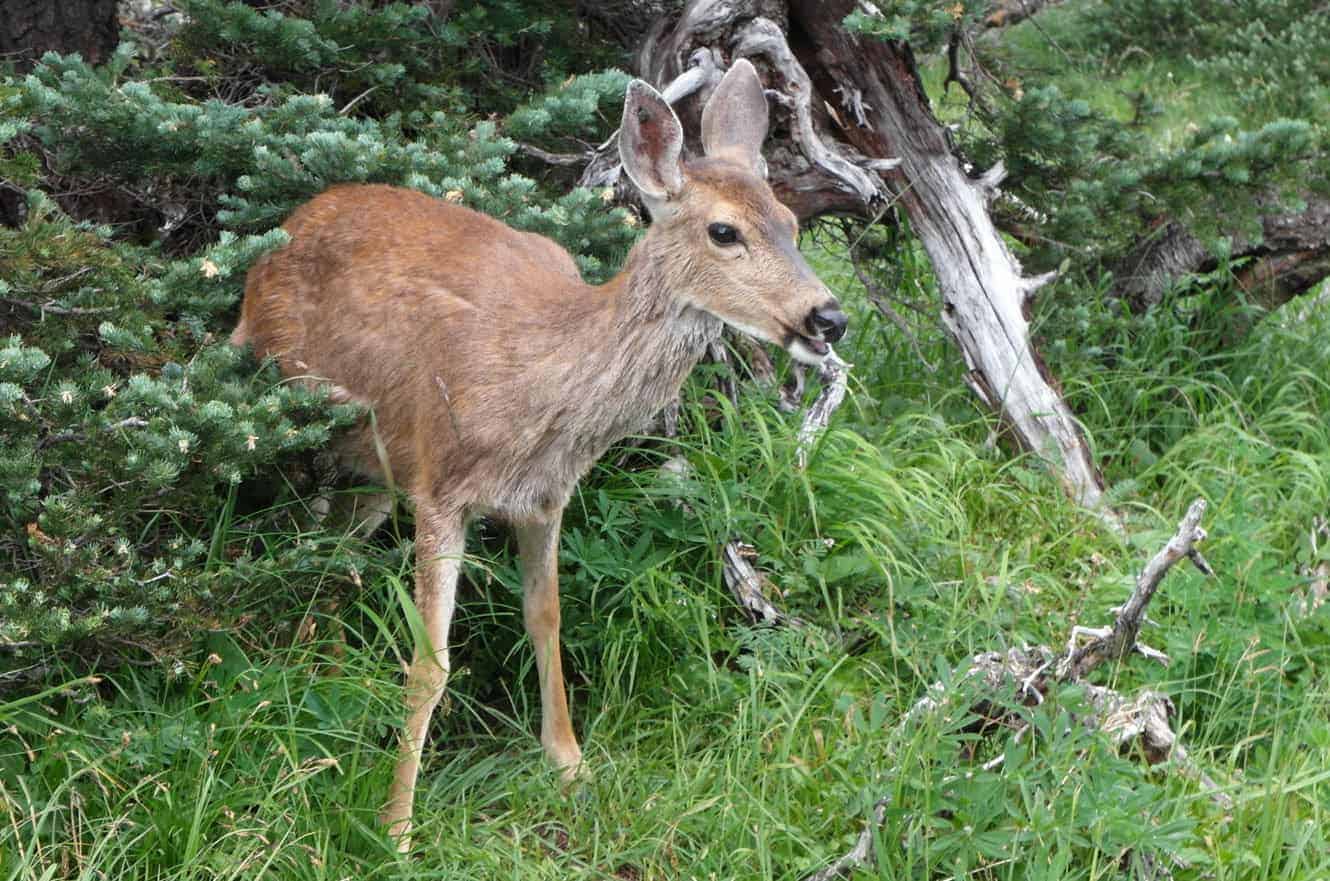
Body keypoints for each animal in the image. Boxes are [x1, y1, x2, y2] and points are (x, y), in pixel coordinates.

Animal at [230, 59, 846, 849]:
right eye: (724, 231)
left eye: (793, 225)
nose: (828, 316)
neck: (542, 389)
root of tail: (281, 233)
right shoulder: (441, 483)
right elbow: (431, 662)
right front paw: (396, 826)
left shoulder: (546, 497)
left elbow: (547, 619)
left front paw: (570, 763)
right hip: (291, 407)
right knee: (294, 529)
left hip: (375, 470)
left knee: (334, 543)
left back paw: (319, 657)